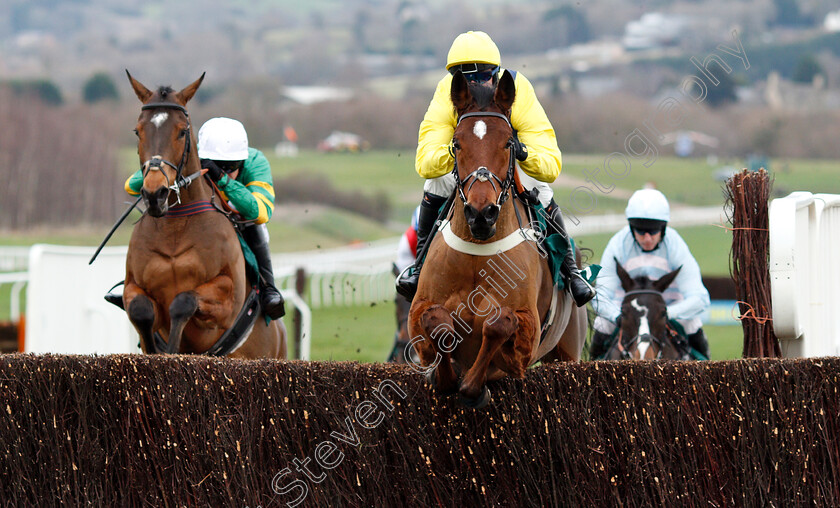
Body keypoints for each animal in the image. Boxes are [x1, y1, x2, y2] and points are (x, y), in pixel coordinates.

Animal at [120, 71, 288, 360]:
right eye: (137, 131)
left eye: (181, 131)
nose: (155, 194)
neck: (175, 228)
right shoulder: (133, 287)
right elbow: (141, 308)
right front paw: (154, 349)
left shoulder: (226, 298)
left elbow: (183, 301)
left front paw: (173, 351)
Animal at [406, 70, 584, 408]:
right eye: (456, 144)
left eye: (508, 143)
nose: (481, 214)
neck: (478, 251)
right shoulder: (418, 313)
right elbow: (438, 322)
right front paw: (443, 376)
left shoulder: (528, 335)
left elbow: (498, 323)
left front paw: (474, 387)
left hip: (566, 351)